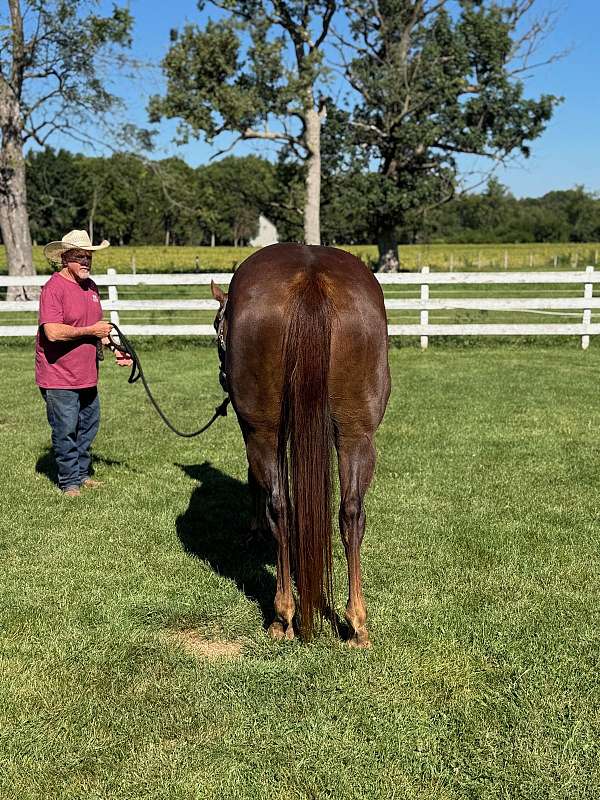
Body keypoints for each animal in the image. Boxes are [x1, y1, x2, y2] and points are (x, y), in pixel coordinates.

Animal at [211, 243, 390, 647]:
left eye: (216, 328)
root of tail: (311, 279)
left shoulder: (254, 433)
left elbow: (257, 484)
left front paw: (255, 530)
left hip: (264, 432)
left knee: (281, 506)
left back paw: (284, 616)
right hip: (357, 435)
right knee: (351, 512)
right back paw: (357, 623)